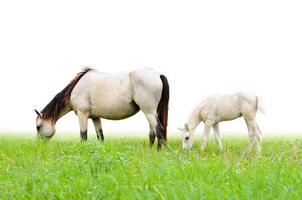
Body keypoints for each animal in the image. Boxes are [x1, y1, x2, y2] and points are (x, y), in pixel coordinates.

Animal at [34, 67, 170, 148]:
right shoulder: (95, 117)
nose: (39, 146)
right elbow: (100, 136)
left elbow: (83, 136)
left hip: (149, 112)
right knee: (152, 133)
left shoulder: (82, 114)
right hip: (150, 112)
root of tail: (158, 75)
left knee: (159, 130)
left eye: (38, 127)